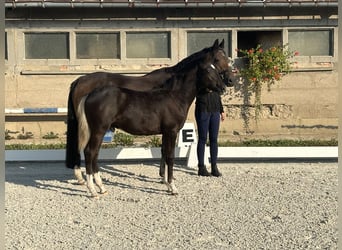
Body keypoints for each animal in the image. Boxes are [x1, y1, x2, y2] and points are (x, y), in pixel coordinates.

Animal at [65, 38, 234, 185]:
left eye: (226, 57)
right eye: (217, 59)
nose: (229, 82)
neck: (172, 92)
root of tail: (79, 81)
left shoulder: (166, 131)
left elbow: (164, 151)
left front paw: (164, 178)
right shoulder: (170, 130)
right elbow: (167, 153)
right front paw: (167, 180)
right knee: (88, 151)